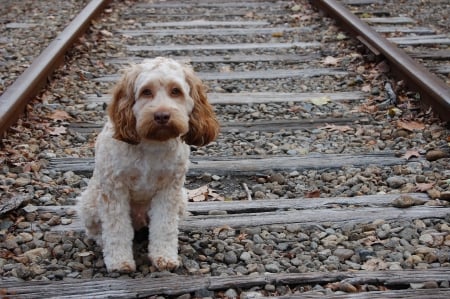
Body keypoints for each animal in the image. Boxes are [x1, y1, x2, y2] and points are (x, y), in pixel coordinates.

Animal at [78, 56, 220, 274]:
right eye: (146, 91)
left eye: (175, 91)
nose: (162, 115)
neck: (152, 144)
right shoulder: (114, 191)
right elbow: (116, 229)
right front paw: (119, 261)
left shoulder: (169, 190)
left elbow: (164, 227)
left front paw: (164, 257)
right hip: (89, 202)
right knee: (96, 231)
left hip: (182, 199)